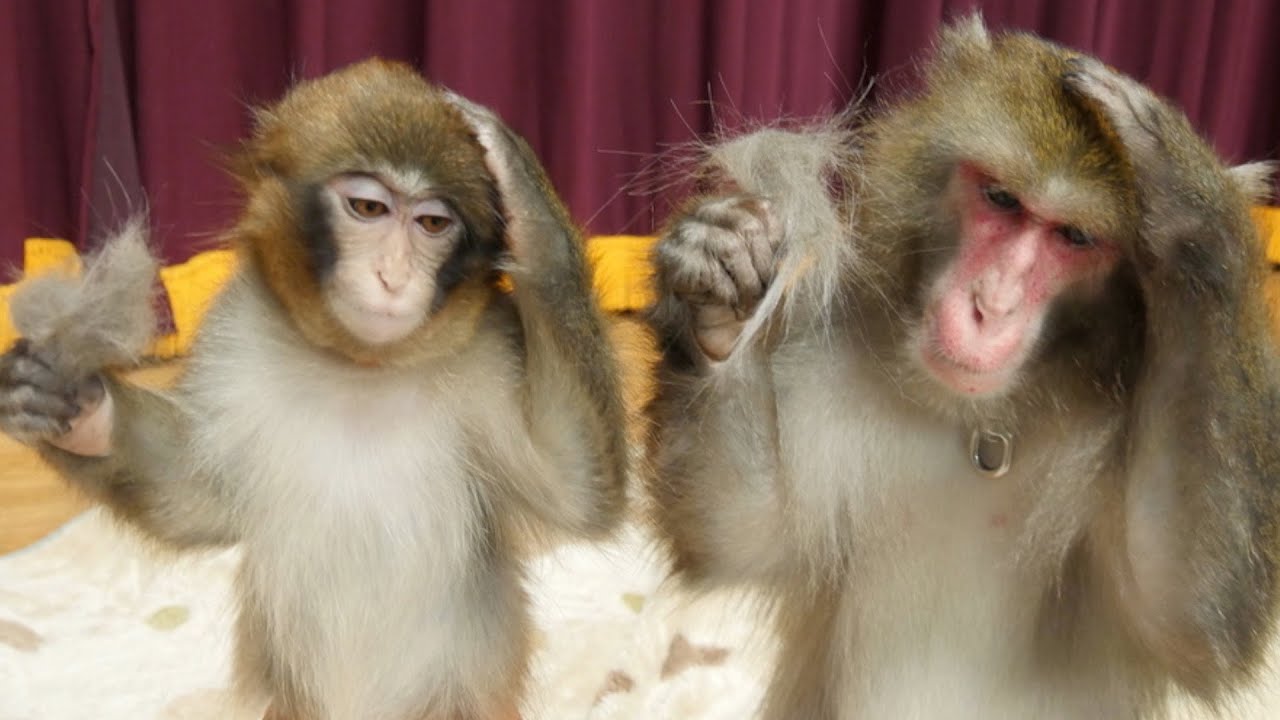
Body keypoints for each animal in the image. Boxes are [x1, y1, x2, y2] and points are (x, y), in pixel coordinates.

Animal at [0, 59, 627, 720]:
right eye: (368, 208)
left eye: (432, 223)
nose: (392, 276)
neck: (361, 365)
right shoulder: (235, 333)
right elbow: (196, 499)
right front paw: (75, 407)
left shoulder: (490, 349)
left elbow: (575, 491)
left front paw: (526, 194)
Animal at [644, 16, 1280, 719]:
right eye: (1001, 198)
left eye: (1073, 237)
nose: (990, 305)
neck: (979, 423)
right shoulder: (821, 361)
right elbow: (740, 530)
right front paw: (719, 289)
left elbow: (1186, 611)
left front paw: (1191, 204)